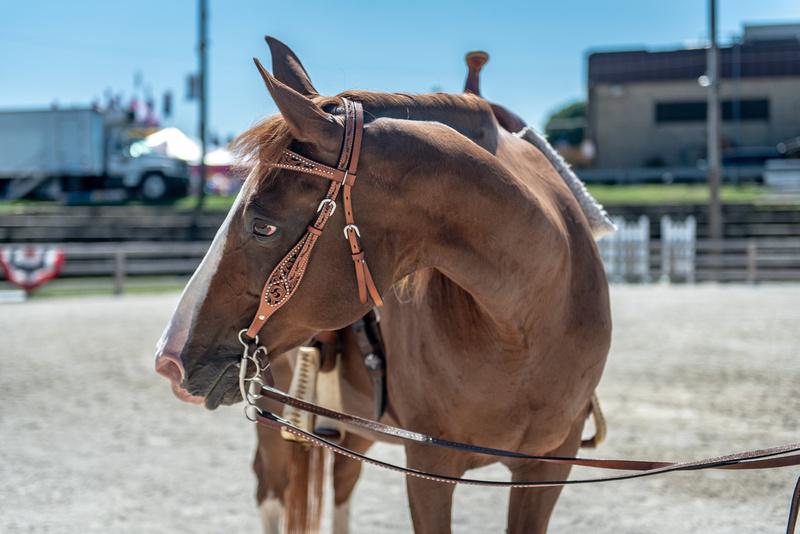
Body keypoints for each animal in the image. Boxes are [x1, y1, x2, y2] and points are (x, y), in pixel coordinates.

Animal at [155, 38, 612, 534]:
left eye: (262, 227)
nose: (169, 360)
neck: (526, 322)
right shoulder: (429, 466)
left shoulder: (547, 468)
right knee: (271, 493)